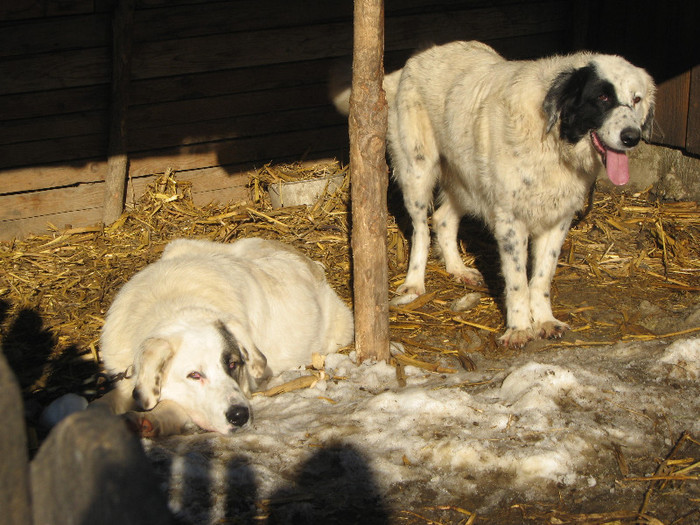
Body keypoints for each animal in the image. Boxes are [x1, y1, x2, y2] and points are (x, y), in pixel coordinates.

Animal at [95, 237, 352, 434]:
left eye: (233, 364)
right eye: (194, 375)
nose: (240, 415)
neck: (175, 303)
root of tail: (310, 263)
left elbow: (174, 405)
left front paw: (150, 419)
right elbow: (104, 402)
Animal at [330, 41, 652, 348]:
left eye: (636, 99)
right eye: (603, 98)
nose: (632, 137)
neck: (553, 137)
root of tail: (413, 63)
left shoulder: (557, 220)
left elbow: (541, 278)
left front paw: (545, 321)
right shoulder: (510, 221)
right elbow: (518, 281)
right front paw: (519, 329)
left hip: (465, 178)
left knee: (443, 219)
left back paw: (458, 269)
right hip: (418, 171)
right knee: (421, 229)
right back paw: (414, 284)